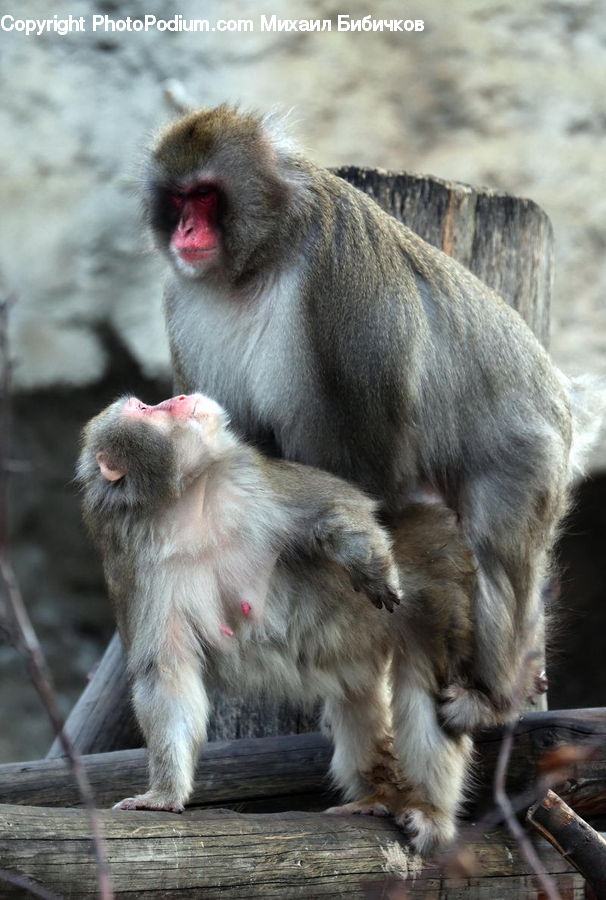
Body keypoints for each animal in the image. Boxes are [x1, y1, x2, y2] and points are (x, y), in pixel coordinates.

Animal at [78, 392, 480, 855]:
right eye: (146, 411)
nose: (179, 397)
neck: (192, 504)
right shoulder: (139, 568)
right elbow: (166, 674)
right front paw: (162, 796)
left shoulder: (253, 479)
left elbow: (338, 503)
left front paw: (366, 562)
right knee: (362, 703)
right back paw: (378, 795)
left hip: (430, 593)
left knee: (425, 684)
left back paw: (430, 811)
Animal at [141, 104, 582, 733]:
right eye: (178, 199)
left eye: (205, 195)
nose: (185, 232)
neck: (257, 262)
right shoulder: (182, 304)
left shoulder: (340, 277)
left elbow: (369, 467)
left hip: (531, 448)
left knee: (499, 551)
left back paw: (494, 695)